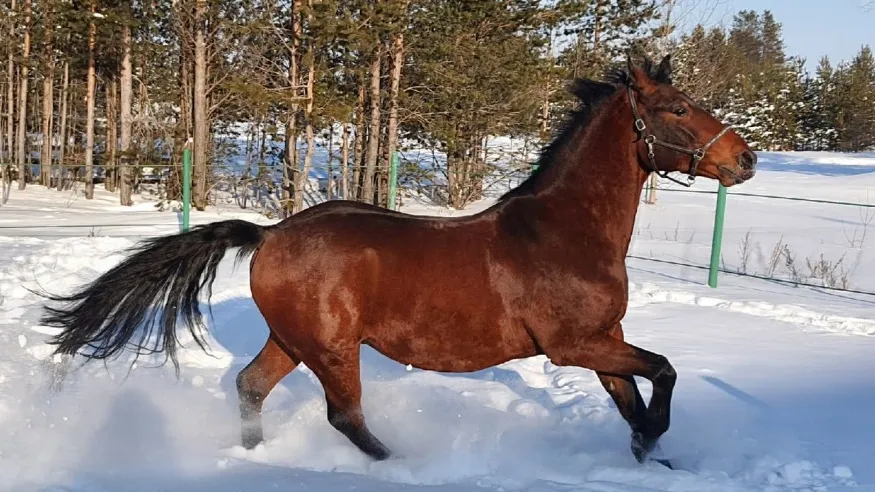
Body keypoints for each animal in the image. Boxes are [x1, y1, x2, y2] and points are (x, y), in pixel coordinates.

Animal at [39, 54, 752, 468]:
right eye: (678, 108)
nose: (743, 160)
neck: (564, 233)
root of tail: (269, 235)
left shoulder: (604, 338)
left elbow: (631, 396)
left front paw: (649, 451)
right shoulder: (572, 344)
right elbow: (663, 372)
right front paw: (654, 438)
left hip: (293, 339)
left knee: (250, 386)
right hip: (331, 347)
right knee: (345, 415)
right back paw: (403, 466)